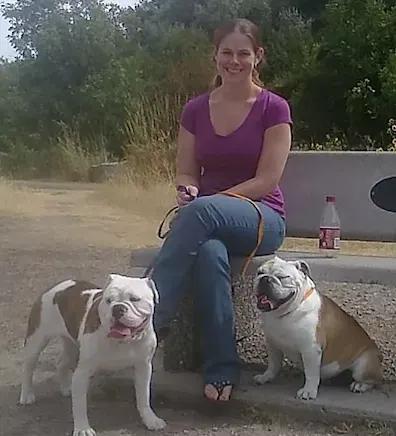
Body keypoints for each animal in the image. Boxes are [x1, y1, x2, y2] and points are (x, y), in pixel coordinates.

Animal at [18, 274, 166, 436]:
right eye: (108, 300)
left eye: (135, 299)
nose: (117, 308)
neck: (122, 341)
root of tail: (58, 286)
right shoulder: (83, 372)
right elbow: (80, 405)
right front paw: (83, 428)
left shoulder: (143, 367)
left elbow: (143, 396)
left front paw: (150, 419)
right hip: (37, 339)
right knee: (28, 367)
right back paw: (27, 395)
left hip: (72, 346)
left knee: (61, 363)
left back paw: (66, 388)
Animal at [252, 255, 382, 402]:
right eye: (259, 272)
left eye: (282, 277)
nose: (265, 279)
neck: (286, 312)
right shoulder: (273, 344)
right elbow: (273, 364)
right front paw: (266, 377)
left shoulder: (311, 350)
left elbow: (311, 373)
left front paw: (308, 391)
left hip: (363, 365)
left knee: (374, 380)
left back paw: (360, 385)